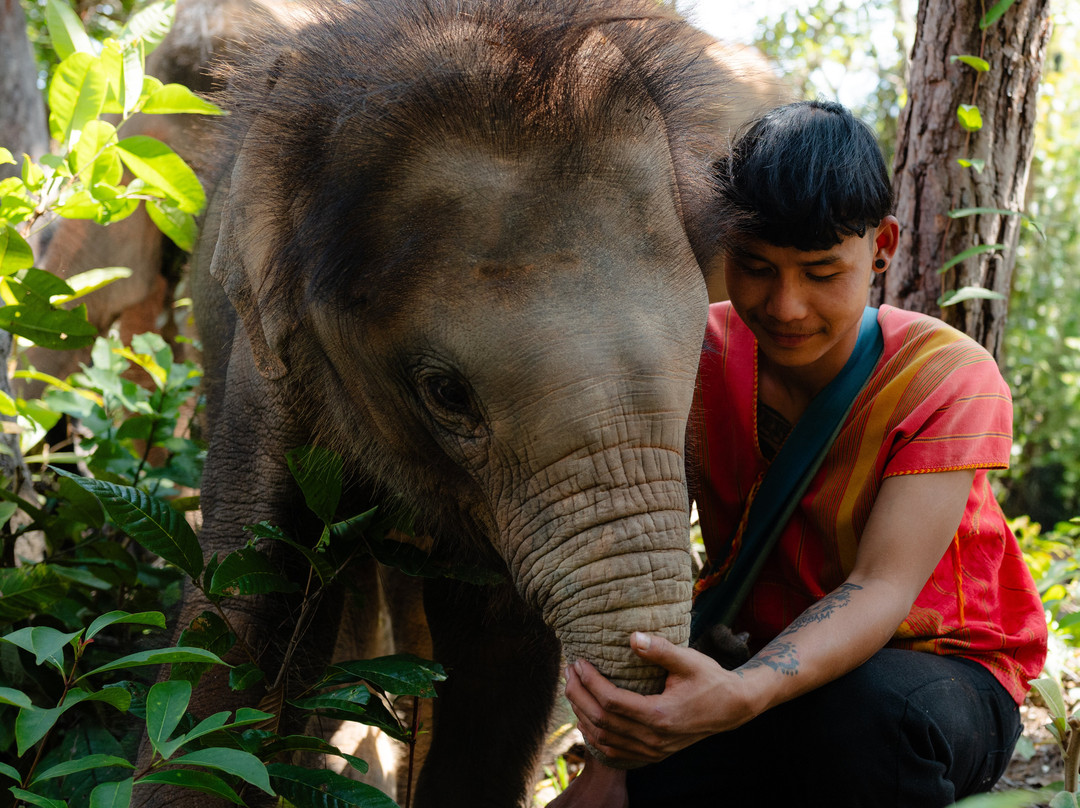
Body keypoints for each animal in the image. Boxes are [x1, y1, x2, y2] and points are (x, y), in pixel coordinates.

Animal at [134, 1, 788, 806]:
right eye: (446, 393)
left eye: (698, 356)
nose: (717, 649)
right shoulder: (268, 358)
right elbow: (247, 608)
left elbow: (499, 654)